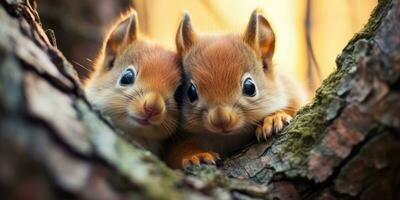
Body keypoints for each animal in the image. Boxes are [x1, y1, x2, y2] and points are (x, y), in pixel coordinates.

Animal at [165, 9, 306, 169]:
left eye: (250, 87)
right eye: (191, 92)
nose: (221, 120)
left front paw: (273, 118)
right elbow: (177, 152)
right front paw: (195, 155)